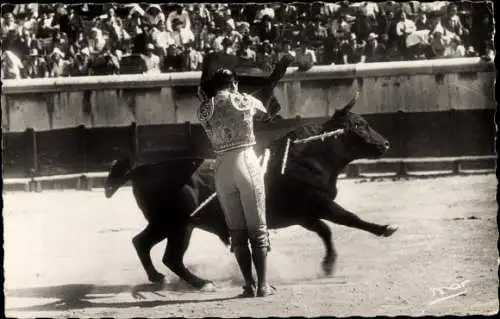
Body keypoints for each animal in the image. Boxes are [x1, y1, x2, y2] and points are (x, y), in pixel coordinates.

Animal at [102, 57, 398, 290]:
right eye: (359, 125)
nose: (385, 144)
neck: (308, 157)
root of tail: (141, 170)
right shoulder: (318, 203)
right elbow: (349, 218)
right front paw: (384, 229)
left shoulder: (305, 214)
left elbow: (325, 231)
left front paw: (328, 264)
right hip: (173, 223)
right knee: (165, 254)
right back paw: (199, 283)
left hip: (174, 224)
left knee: (144, 244)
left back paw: (161, 278)